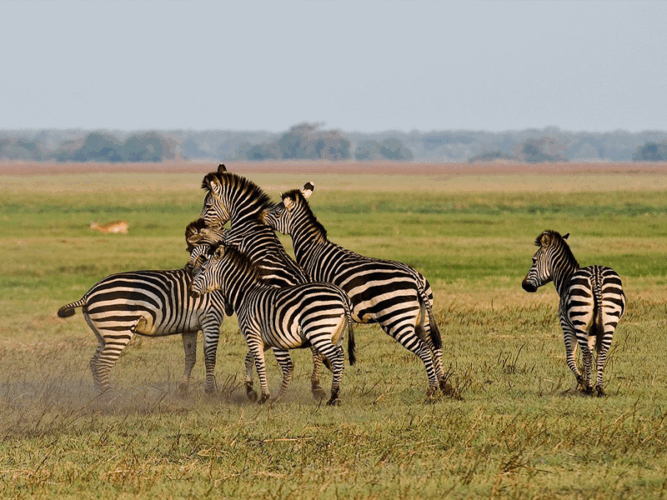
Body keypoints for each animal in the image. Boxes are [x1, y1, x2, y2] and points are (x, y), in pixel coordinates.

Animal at [56, 222, 231, 394]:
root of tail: (88, 294)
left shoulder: (190, 328)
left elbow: (190, 357)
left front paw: (183, 390)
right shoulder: (211, 319)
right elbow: (210, 358)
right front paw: (210, 391)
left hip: (104, 333)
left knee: (93, 362)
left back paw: (98, 395)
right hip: (119, 329)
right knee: (102, 364)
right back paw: (109, 397)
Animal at [185, 219, 338, 401]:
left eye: (202, 269)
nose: (191, 290)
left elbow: (259, 361)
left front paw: (262, 393)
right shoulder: (262, 336)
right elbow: (250, 358)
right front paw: (250, 389)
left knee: (308, 358)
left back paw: (317, 389)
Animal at [259, 182, 447, 397]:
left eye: (277, 211)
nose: (259, 215)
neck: (313, 251)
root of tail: (415, 277)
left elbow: (320, 349)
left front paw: (319, 382)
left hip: (396, 319)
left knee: (424, 349)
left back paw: (432, 389)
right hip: (422, 319)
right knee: (435, 346)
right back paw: (444, 385)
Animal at [522, 230, 626, 396]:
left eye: (534, 260)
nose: (524, 285)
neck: (565, 280)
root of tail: (595, 276)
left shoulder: (566, 325)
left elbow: (570, 358)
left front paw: (582, 381)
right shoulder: (592, 332)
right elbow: (588, 355)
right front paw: (588, 380)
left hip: (580, 322)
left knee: (587, 355)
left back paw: (589, 389)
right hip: (609, 320)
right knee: (601, 353)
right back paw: (600, 388)